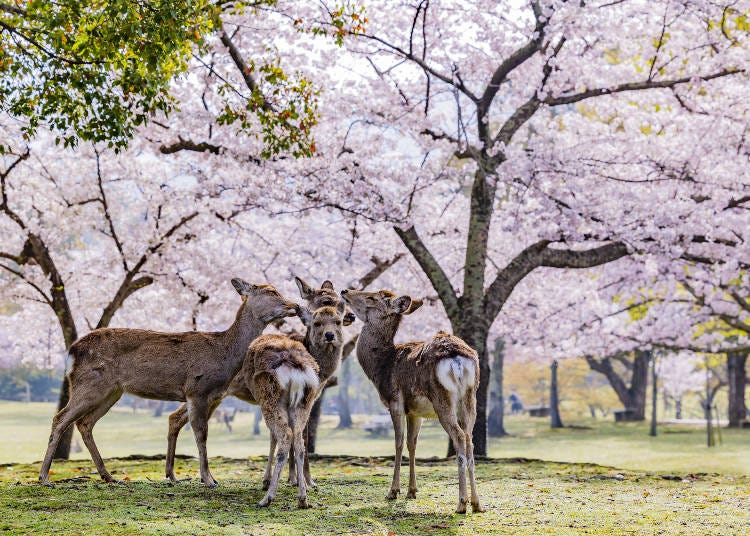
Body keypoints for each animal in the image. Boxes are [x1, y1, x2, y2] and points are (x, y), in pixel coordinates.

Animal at [39, 280, 296, 490]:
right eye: (271, 291)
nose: (294, 305)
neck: (224, 354)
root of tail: (71, 352)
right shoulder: (196, 389)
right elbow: (201, 434)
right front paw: (209, 479)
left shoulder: (212, 395)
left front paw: (202, 477)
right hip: (90, 384)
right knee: (60, 418)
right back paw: (44, 477)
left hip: (112, 391)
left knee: (85, 422)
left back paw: (109, 477)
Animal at [342, 286, 484, 512]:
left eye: (371, 297)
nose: (345, 290)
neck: (381, 366)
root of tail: (458, 360)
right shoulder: (416, 412)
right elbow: (412, 443)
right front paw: (411, 491)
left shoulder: (395, 401)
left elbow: (398, 443)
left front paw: (393, 491)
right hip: (470, 398)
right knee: (469, 439)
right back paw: (476, 503)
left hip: (442, 398)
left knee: (459, 436)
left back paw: (461, 503)